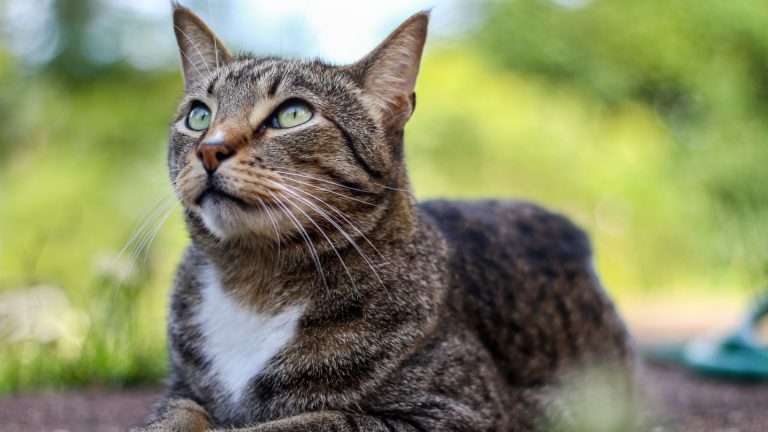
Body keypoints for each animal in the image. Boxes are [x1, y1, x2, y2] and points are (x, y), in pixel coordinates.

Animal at [132, 4, 636, 432]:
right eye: (199, 116)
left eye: (292, 114)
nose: (209, 148)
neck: (253, 282)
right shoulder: (182, 390)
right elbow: (175, 414)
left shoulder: (459, 411)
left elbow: (308, 421)